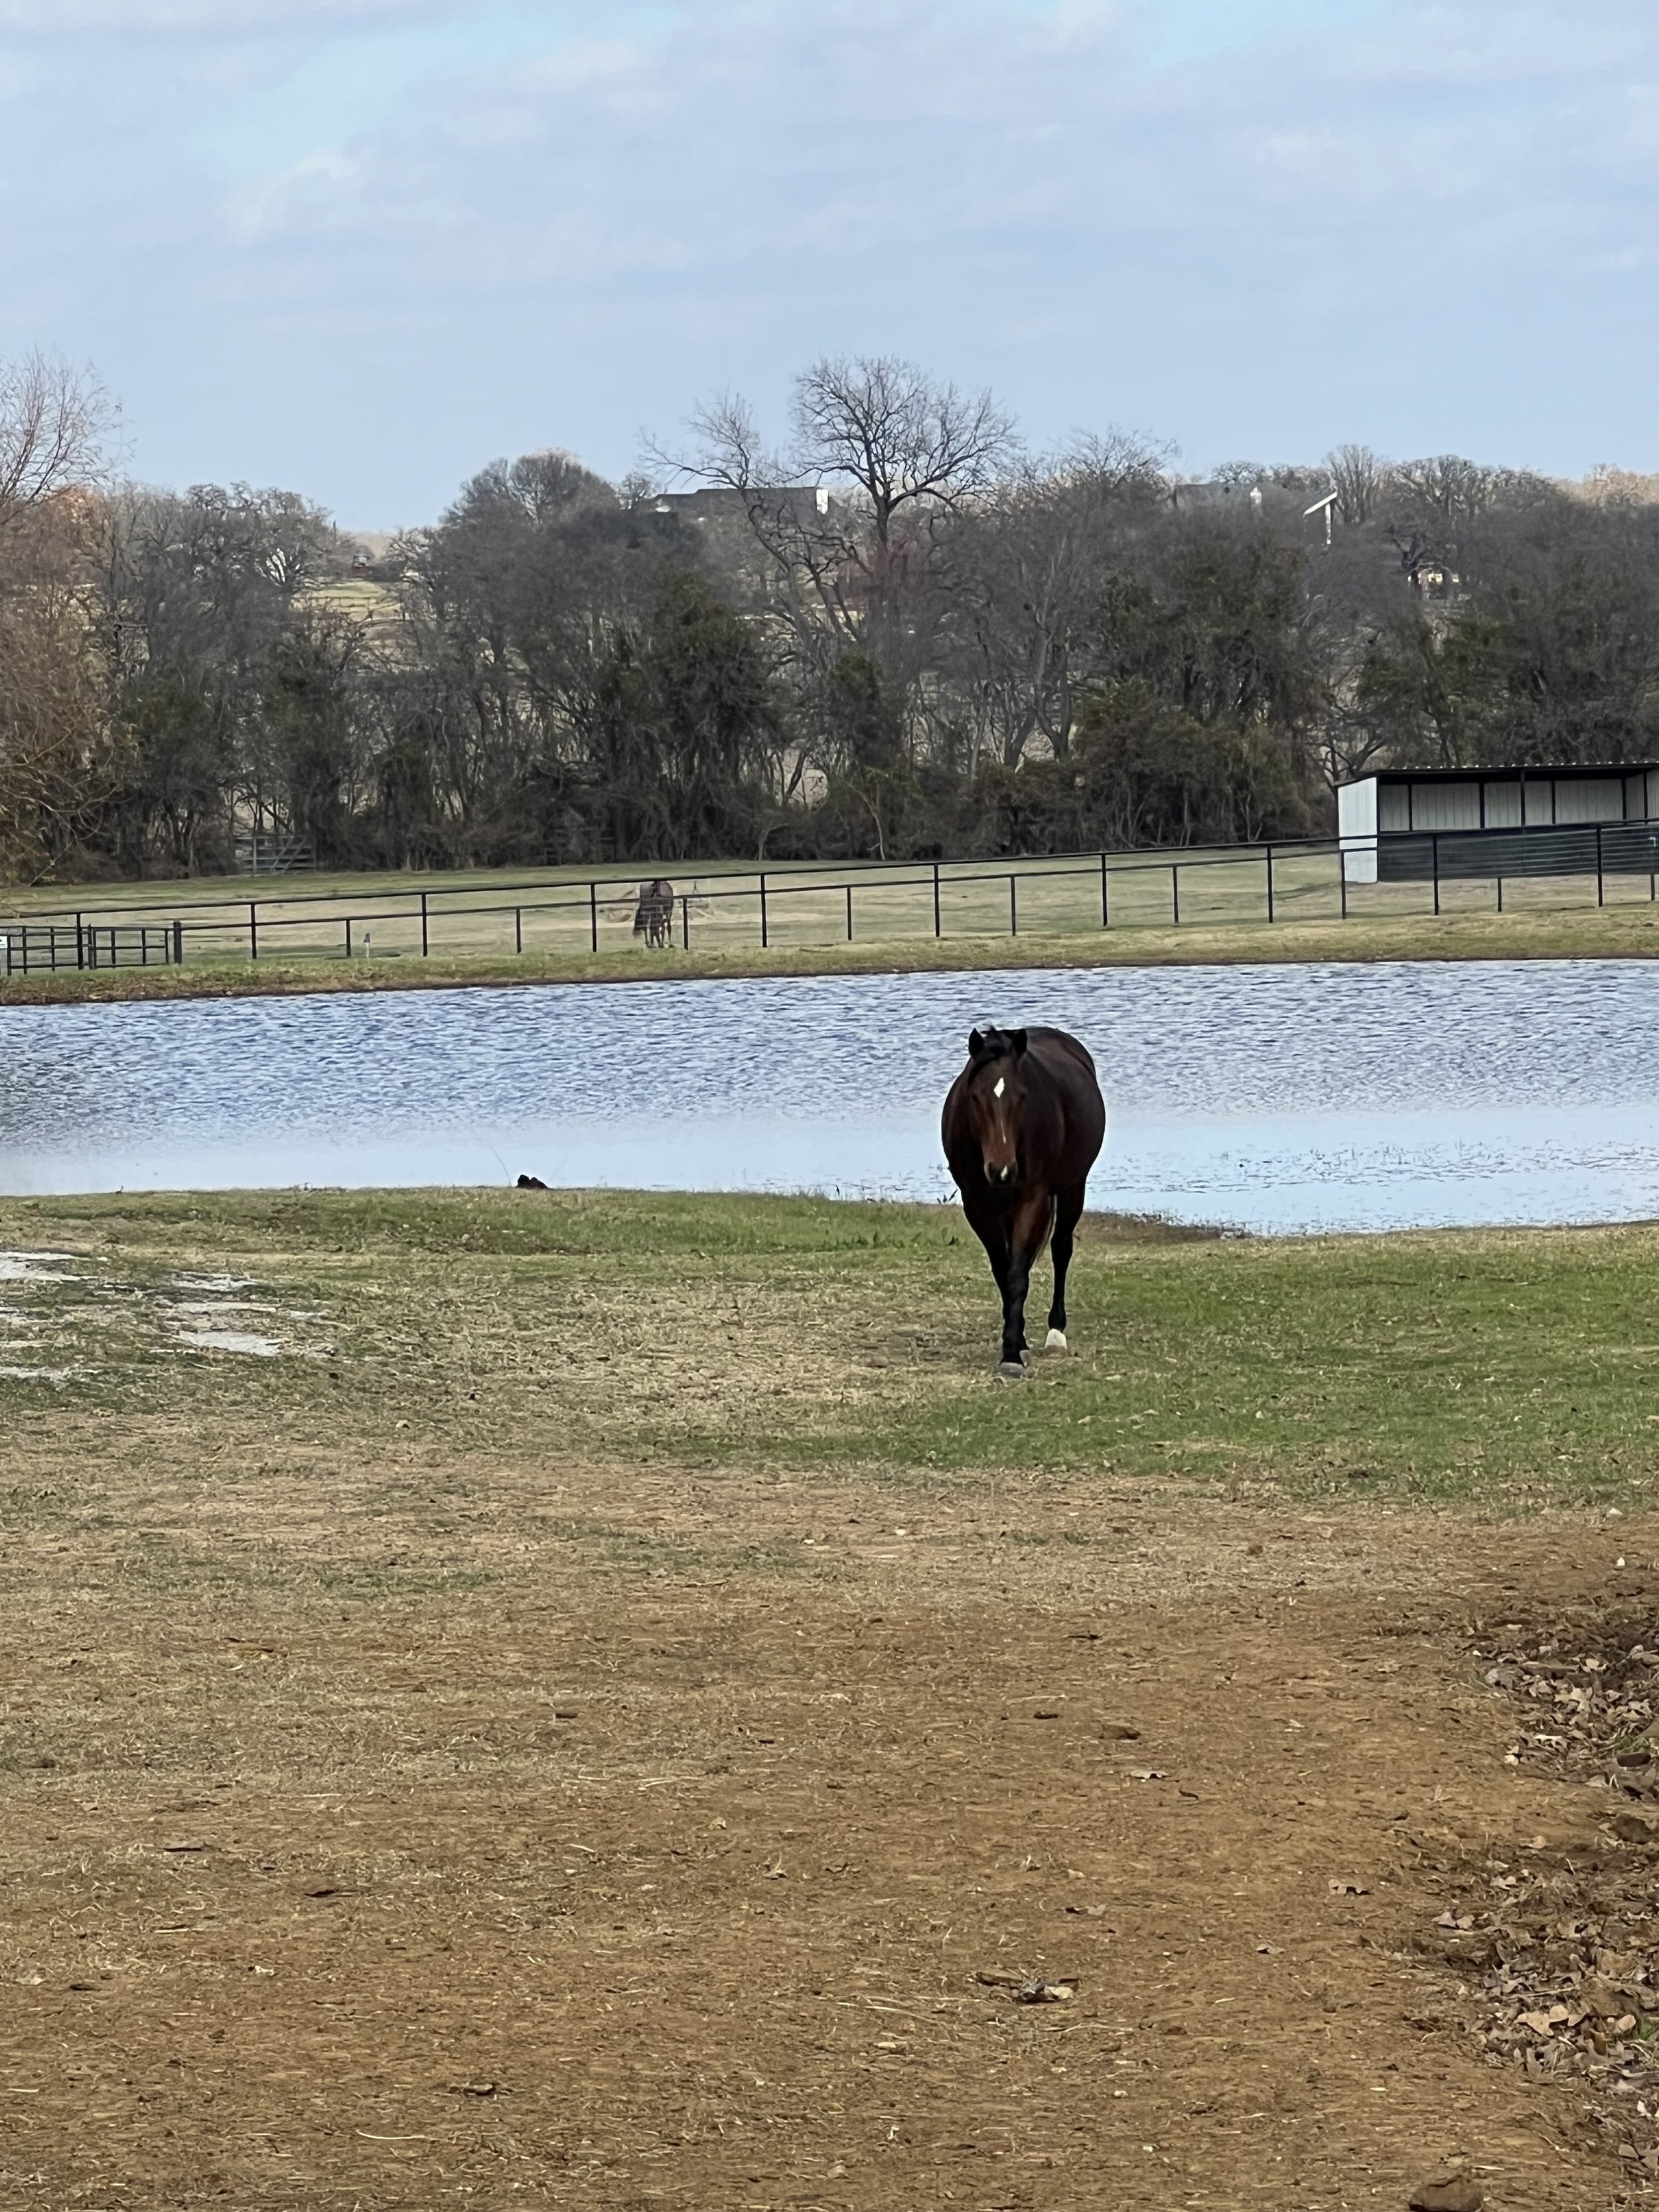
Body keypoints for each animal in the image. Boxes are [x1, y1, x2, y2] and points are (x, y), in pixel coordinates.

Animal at [941, 1025, 1106, 1382]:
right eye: (975, 1097)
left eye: (1023, 1097)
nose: (1002, 1171)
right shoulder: (977, 1205)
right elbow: (1004, 1272)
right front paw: (1016, 1343)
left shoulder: (1034, 1200)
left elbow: (1018, 1275)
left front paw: (1012, 1355)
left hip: (1072, 1189)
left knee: (1061, 1251)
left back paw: (1056, 1334)